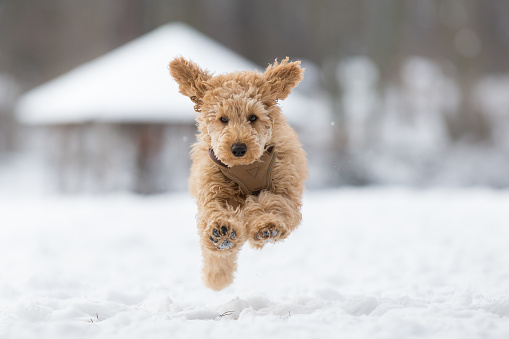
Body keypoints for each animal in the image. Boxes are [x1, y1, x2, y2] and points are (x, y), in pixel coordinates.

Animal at [169, 57, 308, 290]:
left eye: (253, 117)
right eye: (223, 119)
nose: (238, 148)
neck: (245, 167)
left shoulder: (284, 187)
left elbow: (274, 203)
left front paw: (267, 224)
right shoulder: (212, 187)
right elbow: (213, 212)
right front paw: (221, 230)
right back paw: (218, 270)